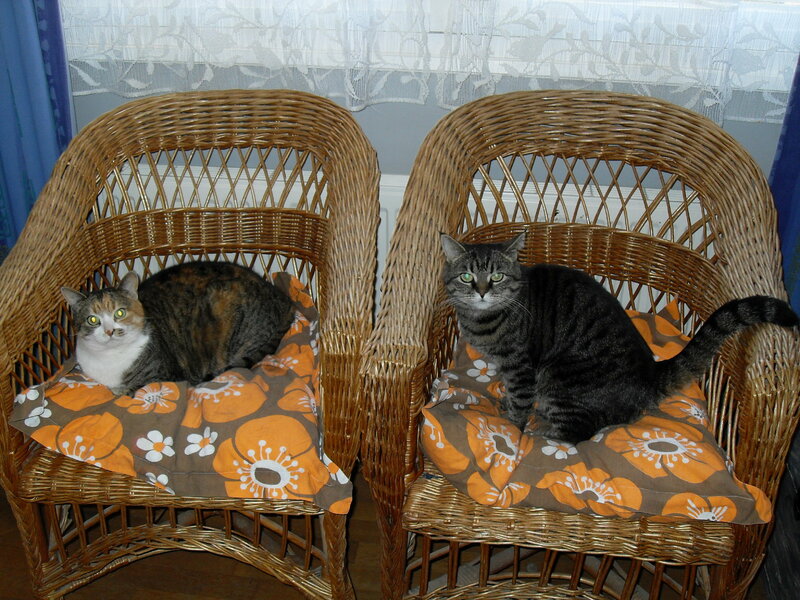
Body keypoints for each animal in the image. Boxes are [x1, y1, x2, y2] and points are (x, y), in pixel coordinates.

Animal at [61, 261, 295, 395]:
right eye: (92, 320)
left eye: (120, 313)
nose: (109, 331)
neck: (111, 358)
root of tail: (284, 301)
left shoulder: (161, 377)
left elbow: (128, 391)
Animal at [441, 232, 799, 444]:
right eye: (467, 276)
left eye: (498, 276)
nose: (482, 291)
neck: (485, 317)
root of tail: (650, 374)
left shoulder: (520, 366)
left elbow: (519, 401)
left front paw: (512, 428)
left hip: (561, 378)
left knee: (577, 433)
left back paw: (541, 433)